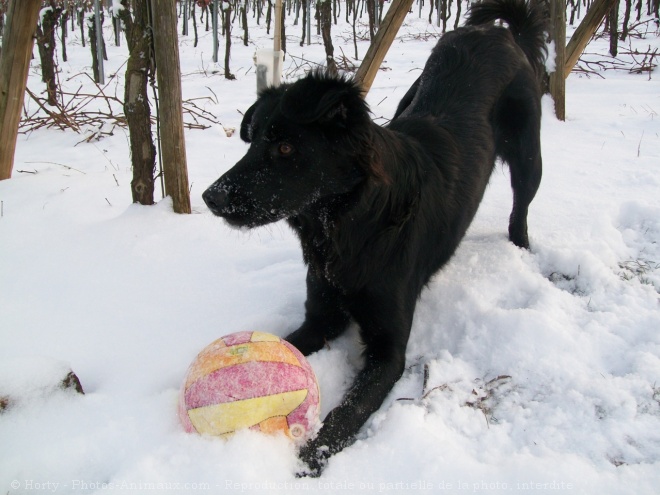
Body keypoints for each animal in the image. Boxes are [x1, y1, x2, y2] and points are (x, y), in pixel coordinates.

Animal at [202, 0, 548, 476]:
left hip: (529, 155)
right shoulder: (321, 316)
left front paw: (312, 455)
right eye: (252, 143)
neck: (344, 229)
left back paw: (521, 249)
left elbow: (349, 410)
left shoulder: (388, 351)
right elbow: (290, 343)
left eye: (286, 148)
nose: (210, 197)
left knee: (522, 207)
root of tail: (498, 33)